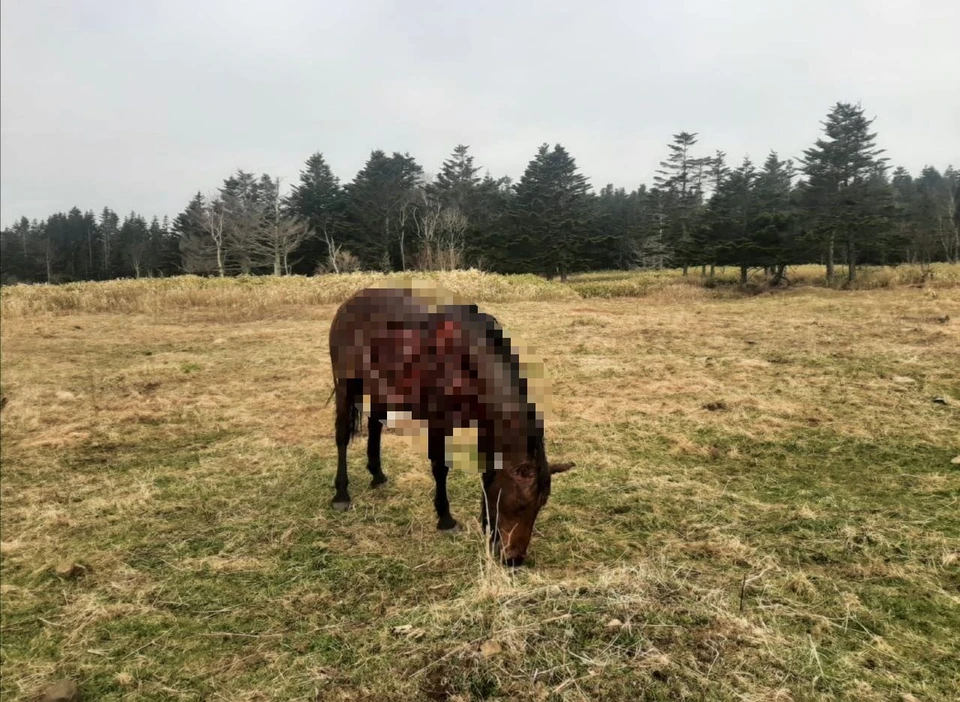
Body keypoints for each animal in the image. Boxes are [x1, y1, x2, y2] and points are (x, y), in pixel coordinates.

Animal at [326, 282, 572, 568]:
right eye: (522, 505)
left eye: (540, 507)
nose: (514, 559)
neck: (467, 367)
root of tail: (349, 303)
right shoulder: (438, 420)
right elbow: (440, 467)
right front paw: (446, 519)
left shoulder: (486, 425)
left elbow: (488, 474)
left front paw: (486, 527)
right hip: (346, 385)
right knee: (342, 435)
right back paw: (341, 493)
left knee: (374, 424)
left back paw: (377, 475)